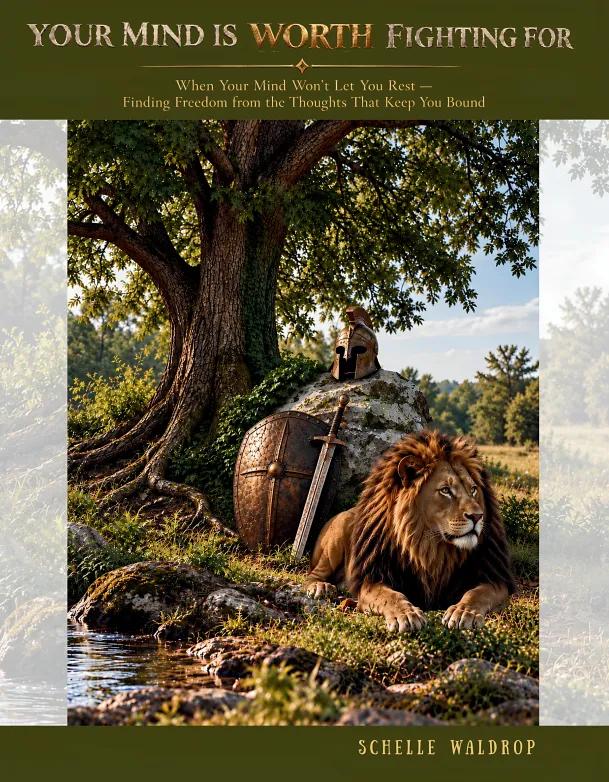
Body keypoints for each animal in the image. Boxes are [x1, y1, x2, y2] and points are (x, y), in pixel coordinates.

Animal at [303, 430, 516, 631]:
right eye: (445, 490)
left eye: (473, 489)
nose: (478, 516)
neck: (431, 547)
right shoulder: (372, 578)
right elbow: (391, 596)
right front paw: (406, 615)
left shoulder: (494, 580)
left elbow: (476, 593)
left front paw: (464, 612)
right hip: (337, 534)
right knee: (312, 573)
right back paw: (321, 587)